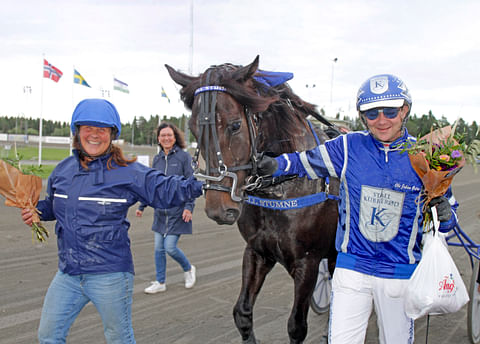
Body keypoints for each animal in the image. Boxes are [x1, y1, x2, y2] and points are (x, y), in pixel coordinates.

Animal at [167, 55, 340, 342]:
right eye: (192, 128)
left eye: (236, 125)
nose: (218, 210)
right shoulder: (257, 252)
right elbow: (242, 314)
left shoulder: (308, 261)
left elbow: (296, 326)